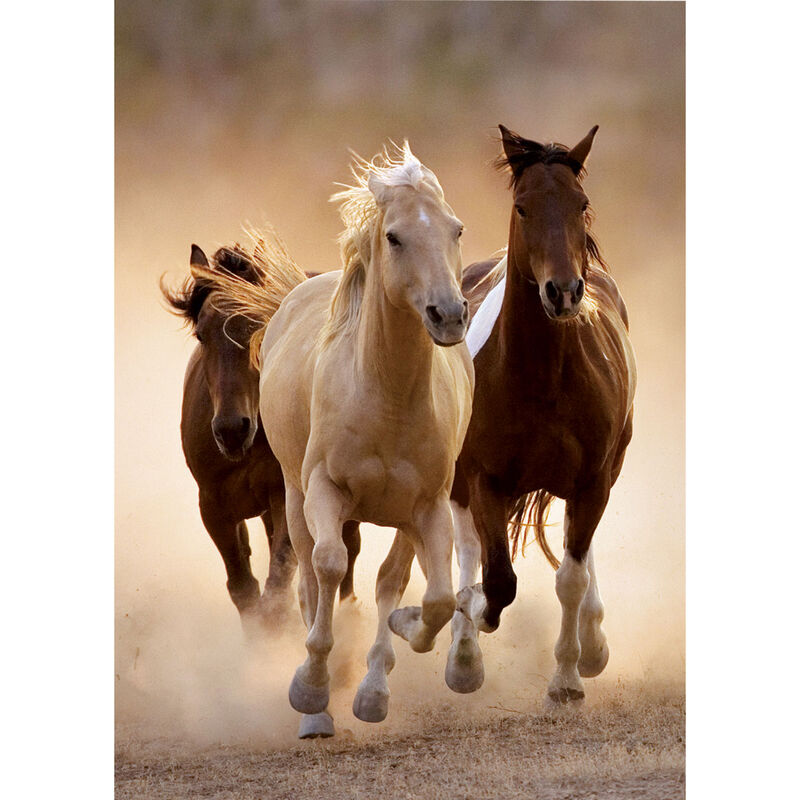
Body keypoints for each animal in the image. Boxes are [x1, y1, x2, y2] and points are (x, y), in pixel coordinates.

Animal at [160, 240, 362, 647]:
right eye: (201, 335)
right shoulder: (214, 507)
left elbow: (278, 586)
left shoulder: (284, 497)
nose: (231, 430)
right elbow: (244, 589)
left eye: (259, 326)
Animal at [198, 144, 474, 738]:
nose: (448, 314)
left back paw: (372, 686)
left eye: (456, 229)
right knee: (309, 576)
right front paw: (311, 688)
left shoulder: (428, 506)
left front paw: (397, 652)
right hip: (293, 497)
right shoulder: (323, 492)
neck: (385, 396)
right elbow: (326, 569)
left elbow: (433, 598)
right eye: (394, 237)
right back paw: (318, 709)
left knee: (392, 579)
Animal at [446, 125, 637, 709]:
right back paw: (463, 653)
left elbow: (570, 577)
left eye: (582, 204)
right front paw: (474, 618)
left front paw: (569, 678)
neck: (543, 376)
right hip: (459, 479)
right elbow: (497, 579)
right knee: (466, 547)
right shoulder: (485, 479)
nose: (564, 291)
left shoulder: (593, 480)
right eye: (523, 206)